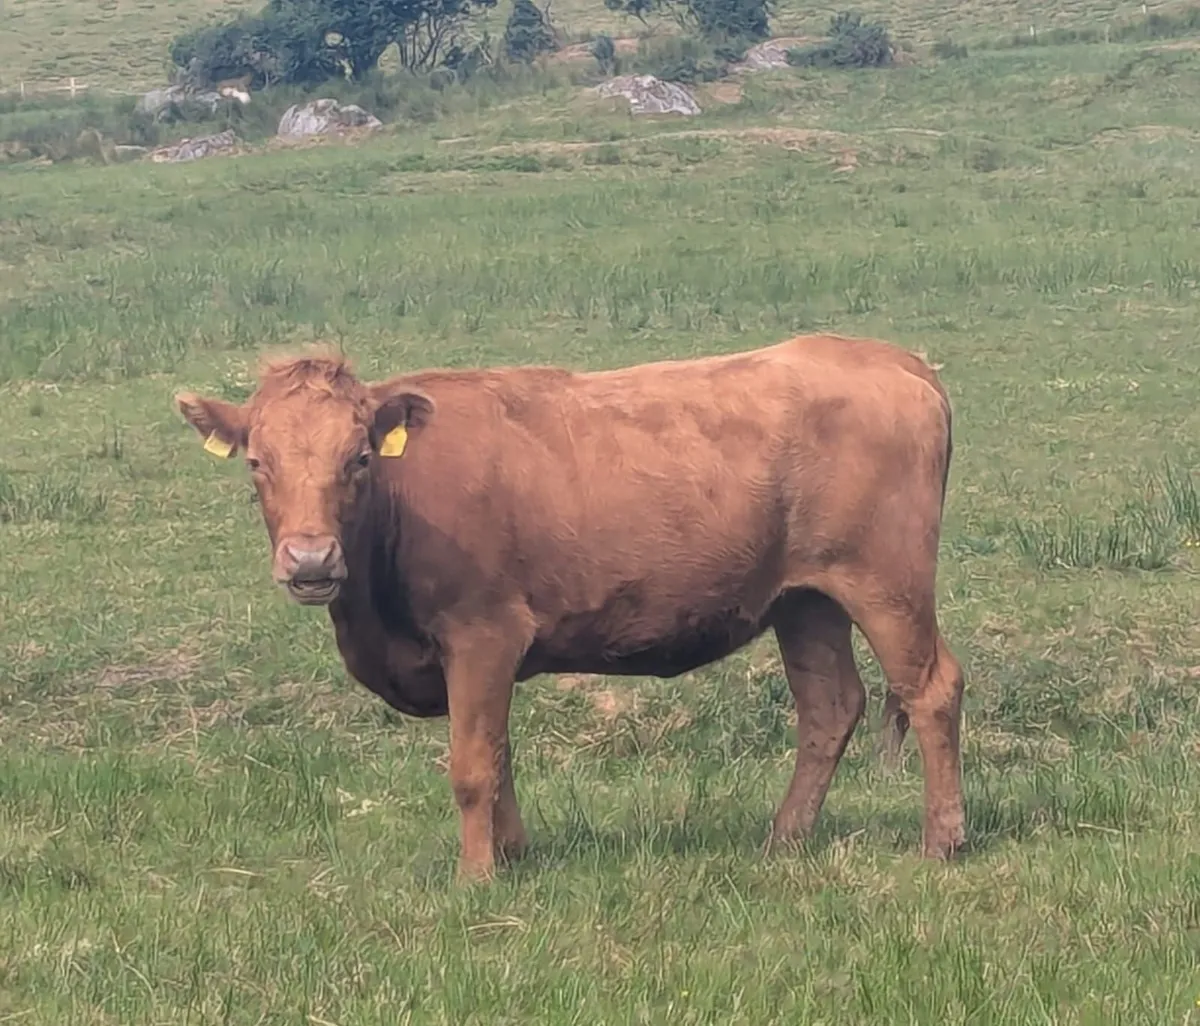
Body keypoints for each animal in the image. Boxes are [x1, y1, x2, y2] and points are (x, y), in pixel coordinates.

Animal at [174, 333, 966, 882]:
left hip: (887, 585)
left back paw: (942, 841)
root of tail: (893, 359)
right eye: (257, 463)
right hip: (805, 602)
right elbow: (499, 754)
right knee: (829, 707)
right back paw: (783, 838)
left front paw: (476, 877)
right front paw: (515, 854)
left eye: (359, 459)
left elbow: (472, 764)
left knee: (931, 690)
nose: (310, 561)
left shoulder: (482, 634)